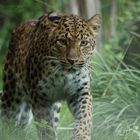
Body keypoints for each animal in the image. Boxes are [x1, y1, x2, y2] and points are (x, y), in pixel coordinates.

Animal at [1, 12, 100, 140]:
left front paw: (81, 136)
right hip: (11, 93)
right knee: (8, 120)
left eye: (83, 43)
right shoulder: (40, 96)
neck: (63, 74)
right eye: (62, 41)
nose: (72, 61)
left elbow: (85, 116)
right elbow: (45, 126)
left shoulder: (80, 91)